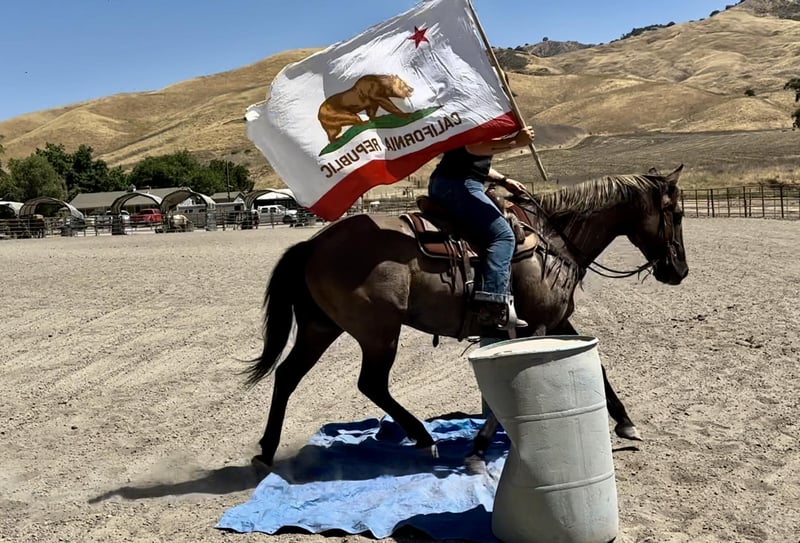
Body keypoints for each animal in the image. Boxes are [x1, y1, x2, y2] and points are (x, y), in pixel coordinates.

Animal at [244, 165, 688, 469]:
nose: (679, 271)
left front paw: (626, 423)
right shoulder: (538, 327)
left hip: (321, 327)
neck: (553, 240)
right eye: (678, 214)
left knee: (287, 375)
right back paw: (423, 438)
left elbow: (599, 369)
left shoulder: (556, 322)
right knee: (371, 383)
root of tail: (313, 243)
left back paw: (266, 451)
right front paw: (478, 447)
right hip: (378, 332)